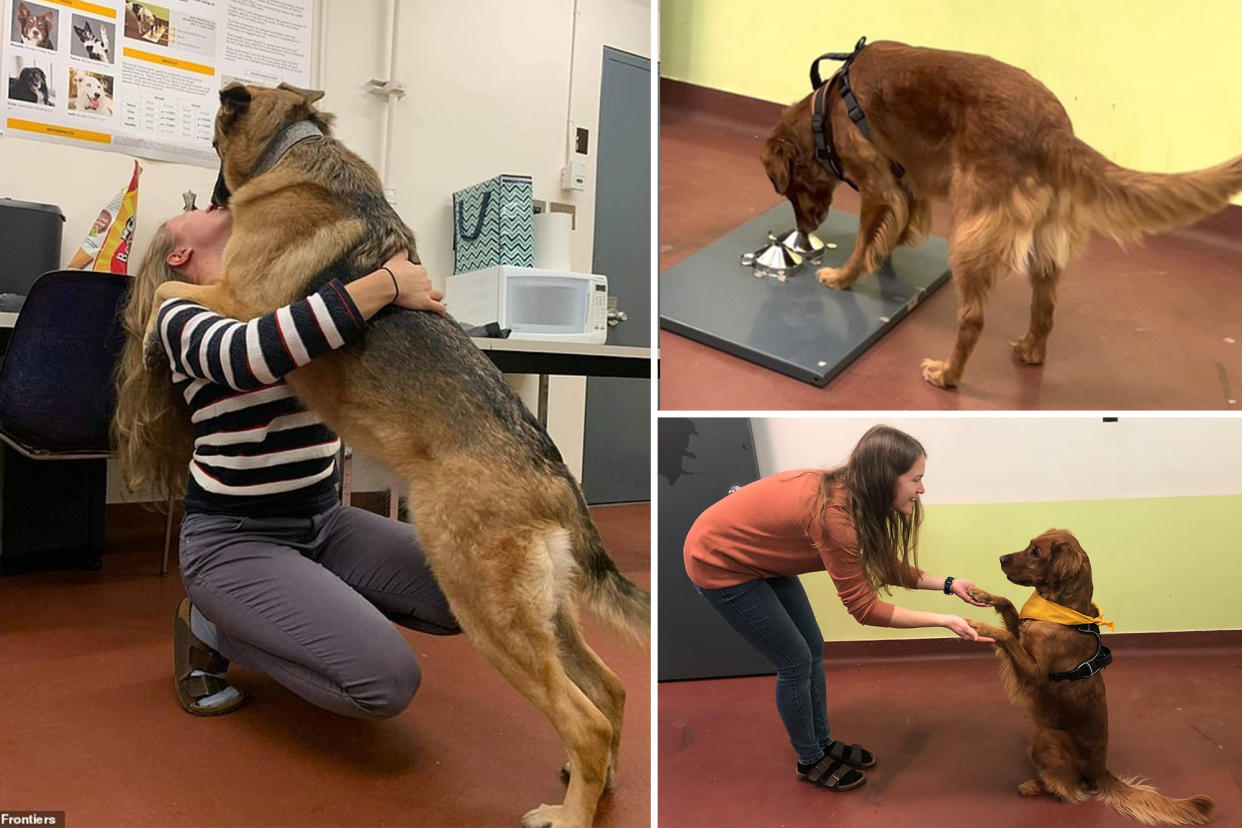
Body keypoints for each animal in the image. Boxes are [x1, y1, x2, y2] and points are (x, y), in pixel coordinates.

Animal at [144, 82, 650, 828]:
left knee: (584, 717)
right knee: (611, 693)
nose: (199, 204)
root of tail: (554, 473)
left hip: (487, 611)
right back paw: (596, 785)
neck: (293, 143)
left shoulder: (237, 303)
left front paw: (151, 338)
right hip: (543, 611)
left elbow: (161, 291)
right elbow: (163, 292)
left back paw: (565, 813)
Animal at [760, 38, 1242, 389]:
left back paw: (947, 374)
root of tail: (1052, 128)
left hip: (970, 237)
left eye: (788, 190)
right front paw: (885, 255)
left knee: (973, 319)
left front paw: (843, 277)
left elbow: (864, 241)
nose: (802, 230)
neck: (827, 112)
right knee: (1045, 307)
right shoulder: (905, 182)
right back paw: (1030, 350)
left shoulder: (878, 184)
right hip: (1043, 243)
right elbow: (893, 230)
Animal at [968, 533, 1212, 824]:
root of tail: (1100, 770)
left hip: (1047, 739)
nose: (1001, 558)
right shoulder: (1023, 632)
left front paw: (982, 627)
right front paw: (980, 593)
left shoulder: (1035, 673)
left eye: (1036, 552)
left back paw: (1035, 786)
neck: (1061, 612)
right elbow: (1007, 603)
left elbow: (1005, 636)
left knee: (1068, 788)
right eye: (1029, 545)